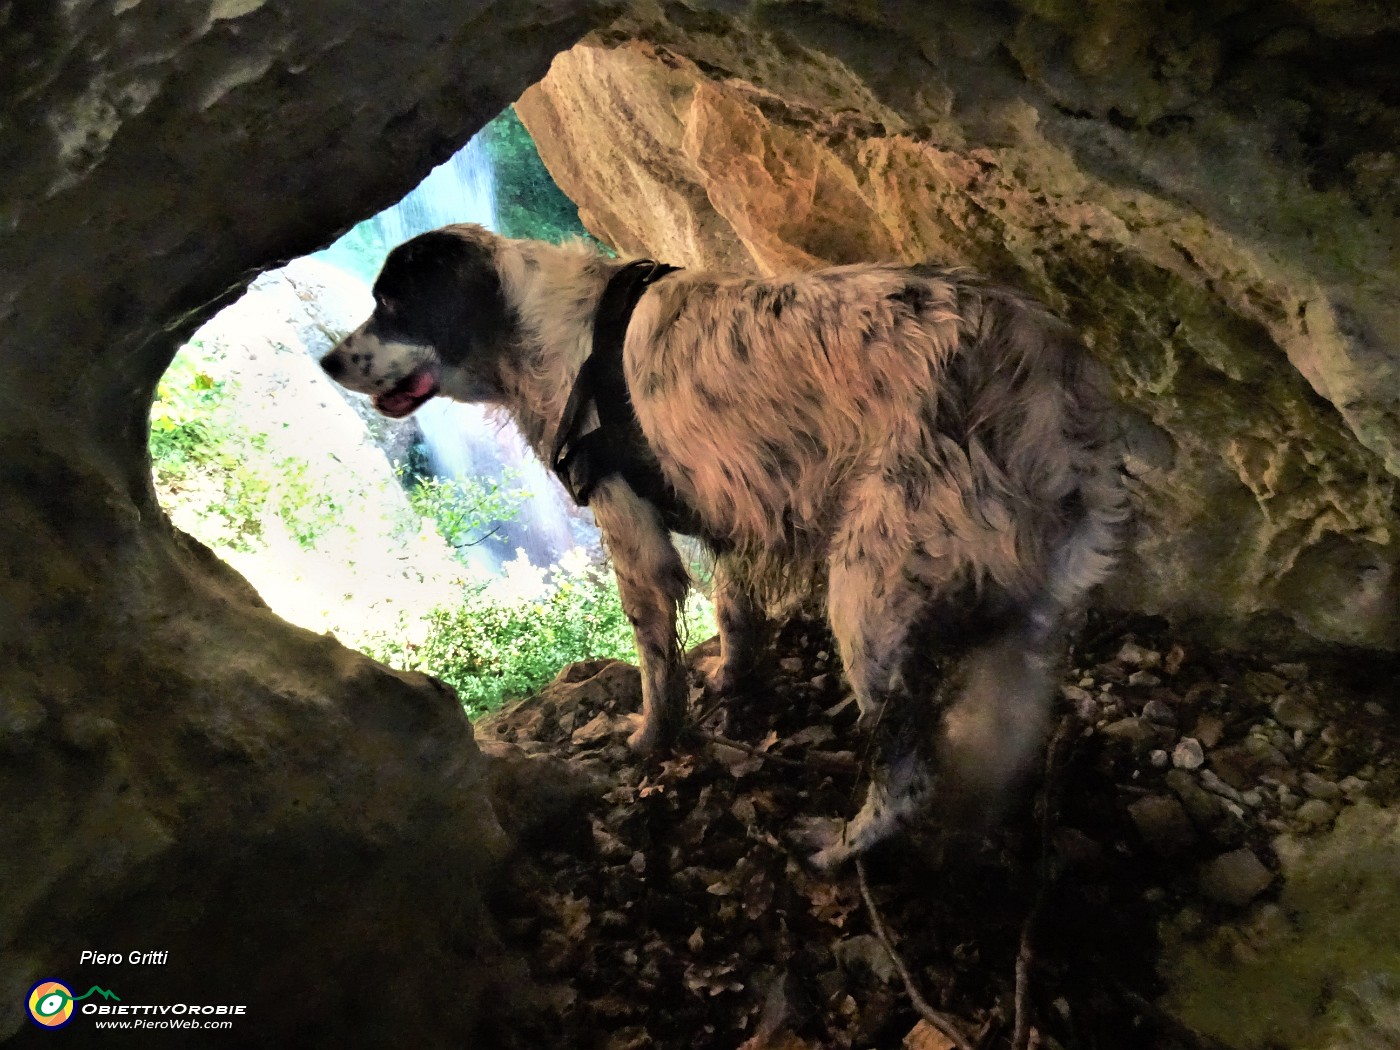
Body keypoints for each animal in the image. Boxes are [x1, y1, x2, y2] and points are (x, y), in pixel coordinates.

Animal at [320, 224, 1125, 873]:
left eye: (391, 304)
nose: (327, 362)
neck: (544, 333)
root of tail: (1049, 386)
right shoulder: (732, 509)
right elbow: (734, 614)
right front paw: (732, 679)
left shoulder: (629, 523)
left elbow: (656, 658)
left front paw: (650, 737)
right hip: (1026, 621)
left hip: (869, 590)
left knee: (907, 774)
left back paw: (842, 847)